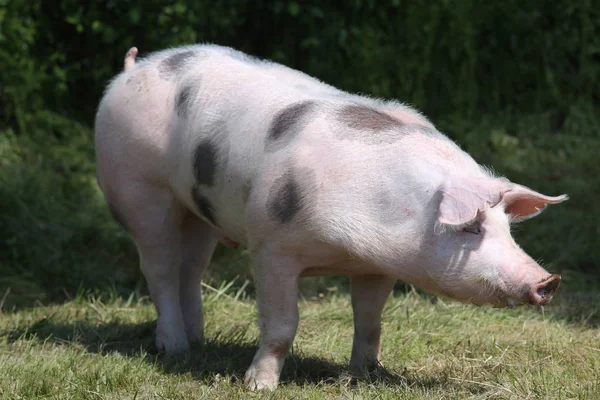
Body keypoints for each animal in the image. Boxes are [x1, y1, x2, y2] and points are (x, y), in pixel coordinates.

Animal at [94, 44, 568, 390]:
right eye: (471, 227)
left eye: (506, 227)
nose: (547, 280)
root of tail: (134, 68)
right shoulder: (272, 247)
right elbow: (282, 324)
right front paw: (258, 386)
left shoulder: (377, 267)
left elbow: (371, 322)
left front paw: (365, 375)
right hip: (139, 190)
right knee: (158, 267)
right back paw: (174, 350)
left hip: (200, 211)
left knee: (190, 269)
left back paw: (197, 343)